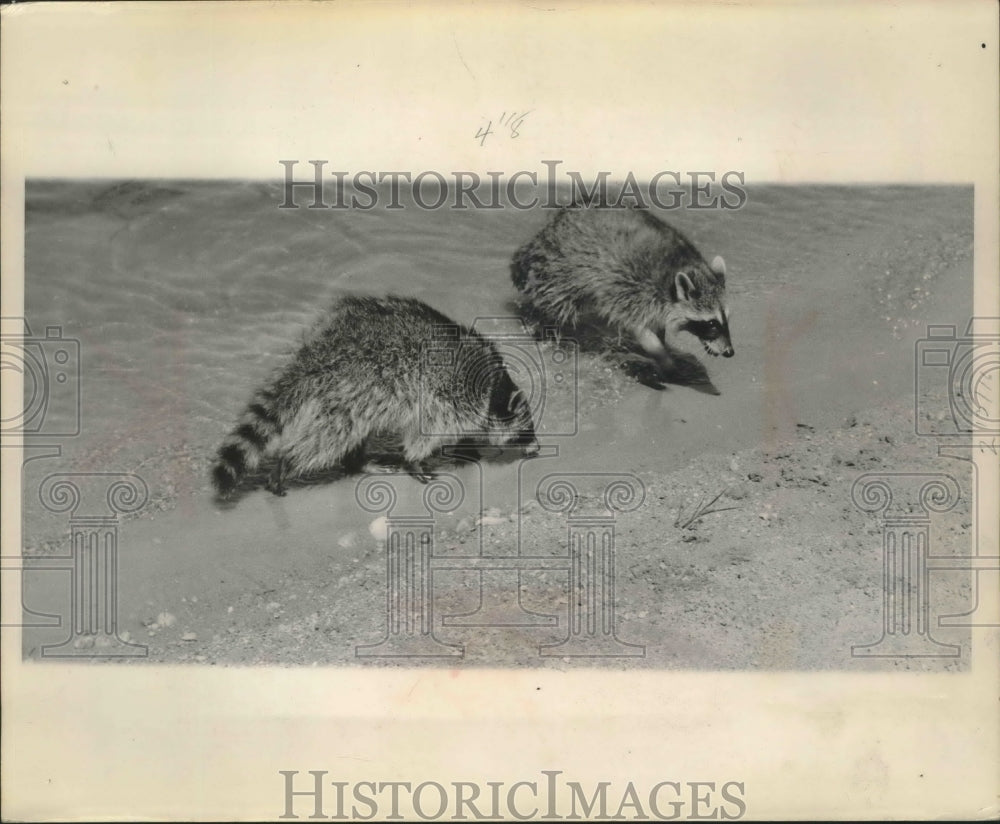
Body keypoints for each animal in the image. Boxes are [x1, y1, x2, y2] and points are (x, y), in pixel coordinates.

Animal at [210, 296, 540, 502]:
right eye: (525, 431)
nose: (536, 448)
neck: (494, 391)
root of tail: (320, 349)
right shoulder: (446, 399)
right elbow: (423, 435)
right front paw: (416, 461)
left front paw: (466, 447)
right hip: (353, 389)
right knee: (329, 439)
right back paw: (289, 462)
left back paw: (356, 463)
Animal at [512, 204, 732, 372]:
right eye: (711, 323)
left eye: (726, 320)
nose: (730, 352)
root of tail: (557, 219)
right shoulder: (632, 287)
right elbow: (636, 325)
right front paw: (658, 351)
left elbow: (656, 323)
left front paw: (661, 343)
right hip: (564, 265)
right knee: (557, 300)